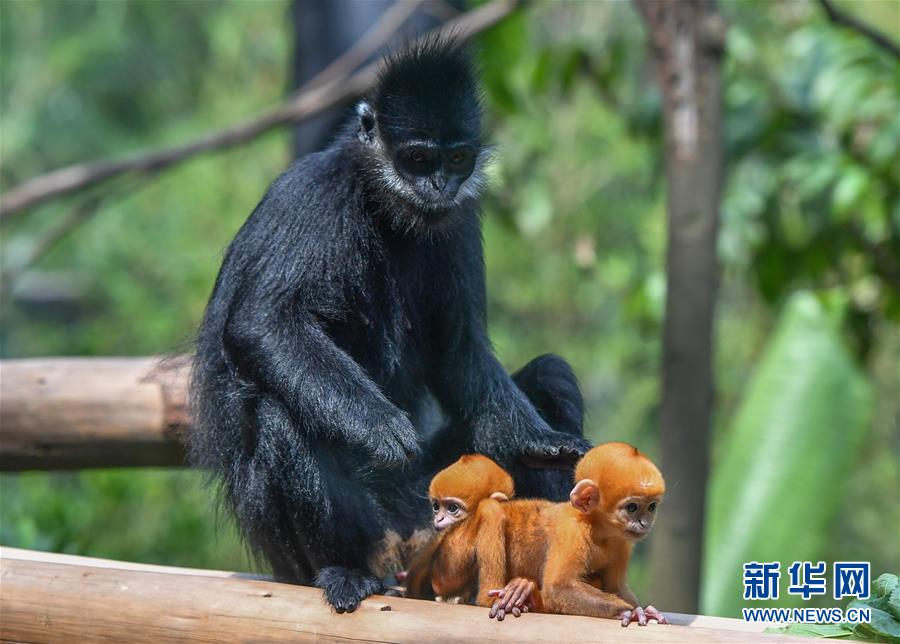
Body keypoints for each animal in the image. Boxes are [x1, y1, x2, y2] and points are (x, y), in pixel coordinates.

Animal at [486, 440, 668, 628]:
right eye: (632, 507)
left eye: (651, 507)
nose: (644, 523)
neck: (597, 529)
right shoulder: (571, 531)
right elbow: (559, 588)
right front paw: (630, 612)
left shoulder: (621, 542)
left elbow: (615, 588)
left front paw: (645, 610)